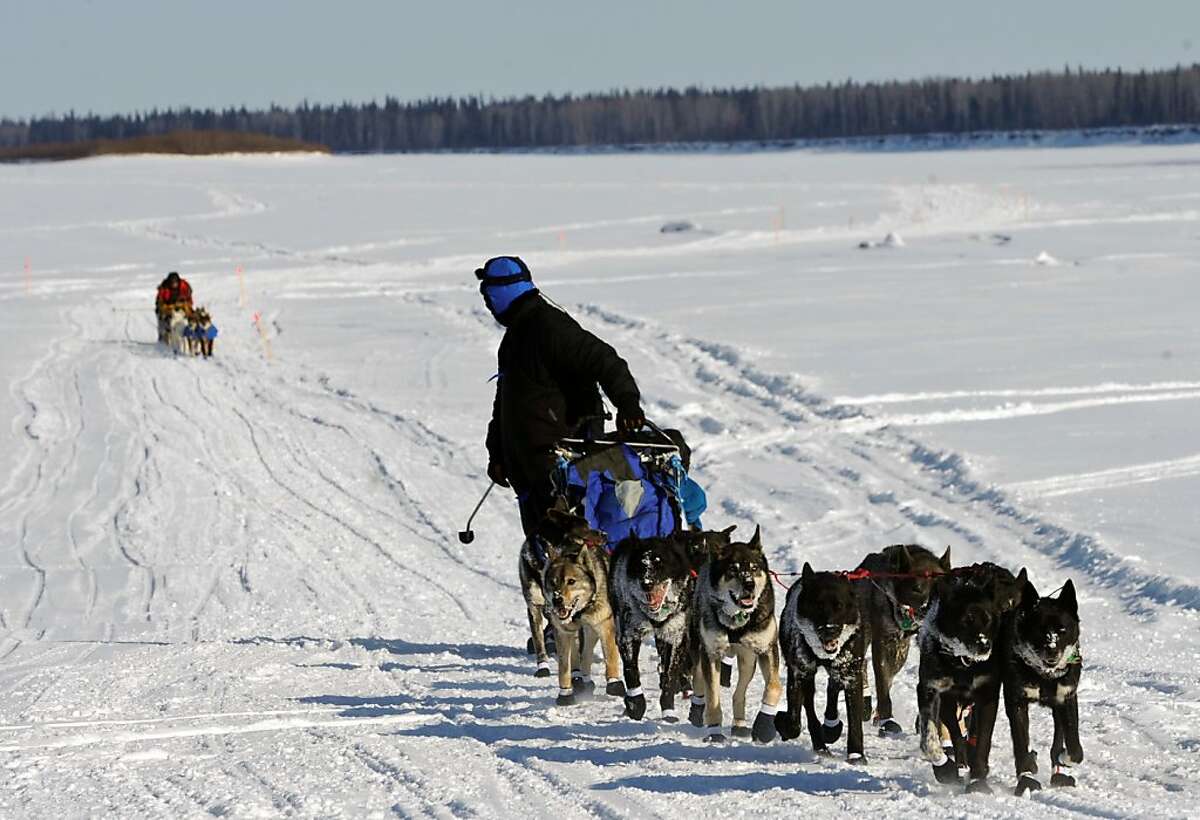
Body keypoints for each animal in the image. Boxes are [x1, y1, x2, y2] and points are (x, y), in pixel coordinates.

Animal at [614, 528, 734, 720]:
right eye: (641, 564)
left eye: (660, 563)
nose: (647, 584)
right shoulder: (629, 634)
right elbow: (632, 670)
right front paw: (636, 703)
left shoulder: (679, 635)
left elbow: (674, 671)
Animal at [916, 566, 1022, 792]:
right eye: (966, 620)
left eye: (988, 619)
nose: (985, 646)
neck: (963, 664)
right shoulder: (931, 689)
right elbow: (929, 738)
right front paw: (944, 767)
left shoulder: (987, 695)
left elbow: (983, 740)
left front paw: (978, 779)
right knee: (955, 733)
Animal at [998, 576, 1084, 797]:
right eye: (1039, 629)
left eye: (1062, 630)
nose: (1052, 651)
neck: (1044, 676)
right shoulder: (1017, 702)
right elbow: (1021, 744)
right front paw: (1026, 778)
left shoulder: (1066, 698)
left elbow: (1074, 748)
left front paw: (1063, 759)